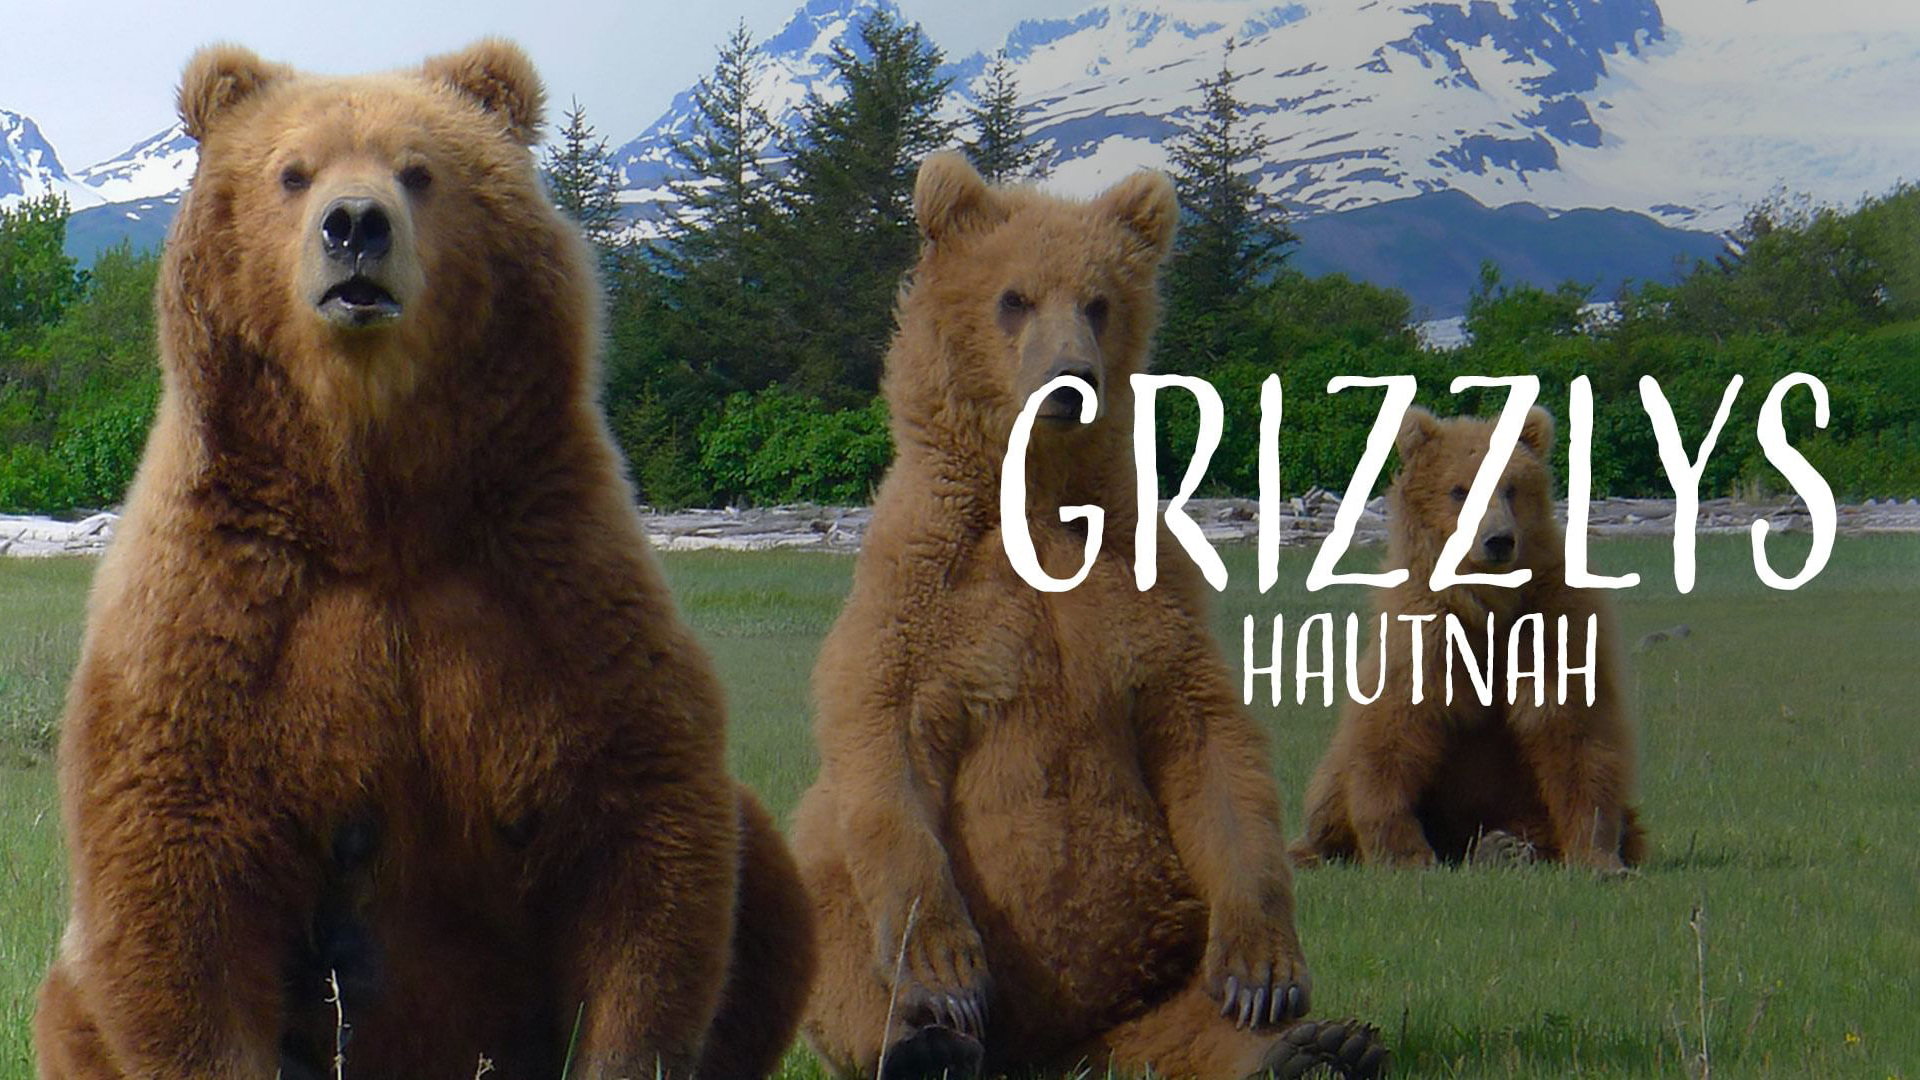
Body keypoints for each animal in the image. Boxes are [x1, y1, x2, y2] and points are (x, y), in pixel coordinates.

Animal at [32, 41, 813, 1080]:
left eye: (418, 170)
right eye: (292, 172)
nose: (355, 227)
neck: (378, 503)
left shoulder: (552, 578)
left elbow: (643, 834)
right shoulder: (227, 612)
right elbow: (179, 883)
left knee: (767, 879)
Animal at [788, 152, 1386, 1080]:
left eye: (1099, 300)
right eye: (1014, 296)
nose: (1070, 384)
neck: (1035, 500)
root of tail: (1050, 1050)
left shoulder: (1148, 591)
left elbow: (1210, 744)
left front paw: (1266, 977)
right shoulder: (924, 592)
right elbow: (887, 736)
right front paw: (944, 979)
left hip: (1160, 948)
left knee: (1183, 1017)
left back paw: (1311, 1043)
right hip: (851, 893)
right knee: (835, 915)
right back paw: (927, 1043)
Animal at [1293, 405, 1647, 870]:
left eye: (1511, 487)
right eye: (1459, 490)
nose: (1498, 540)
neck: (1487, 603)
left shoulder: (1552, 620)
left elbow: (1574, 727)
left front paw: (1598, 854)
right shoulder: (1424, 633)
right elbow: (1393, 728)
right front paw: (1405, 853)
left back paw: (1506, 846)